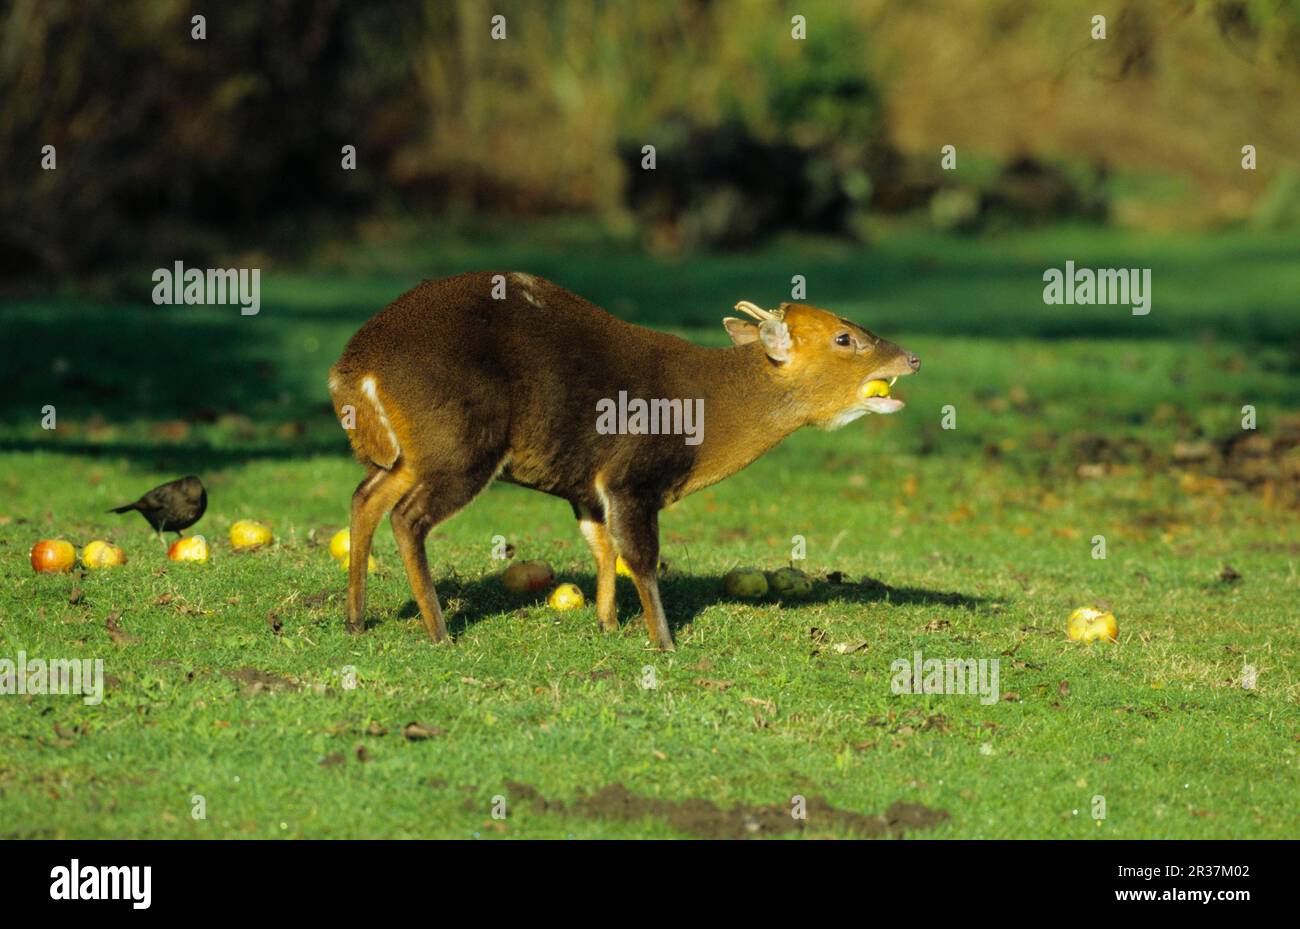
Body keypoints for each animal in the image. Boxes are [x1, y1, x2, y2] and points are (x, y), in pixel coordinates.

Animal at [330, 272, 920, 649]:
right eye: (845, 337)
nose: (911, 358)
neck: (707, 411)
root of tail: (351, 372)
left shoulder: (587, 486)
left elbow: (602, 547)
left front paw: (608, 625)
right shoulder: (632, 475)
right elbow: (640, 554)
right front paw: (664, 642)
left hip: (413, 454)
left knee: (365, 497)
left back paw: (356, 621)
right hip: (461, 443)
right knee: (408, 516)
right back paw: (439, 632)